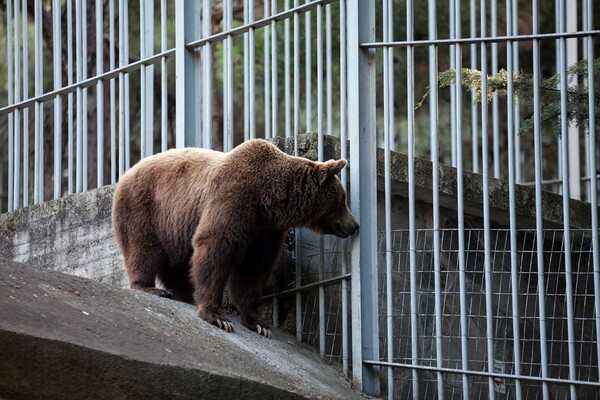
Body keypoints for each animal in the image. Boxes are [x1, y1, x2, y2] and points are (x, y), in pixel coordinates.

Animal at [111, 138, 356, 338]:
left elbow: (254, 267)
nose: (354, 225)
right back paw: (152, 288)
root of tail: (127, 172)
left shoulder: (265, 230)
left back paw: (185, 294)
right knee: (143, 248)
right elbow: (215, 246)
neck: (269, 199)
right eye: (343, 199)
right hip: (145, 207)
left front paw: (258, 323)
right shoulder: (234, 197)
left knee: (177, 263)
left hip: (174, 226)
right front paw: (218, 317)